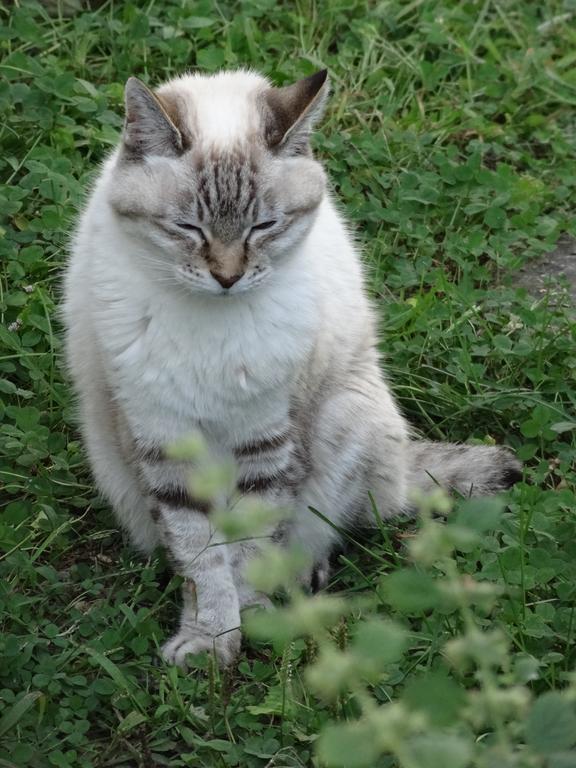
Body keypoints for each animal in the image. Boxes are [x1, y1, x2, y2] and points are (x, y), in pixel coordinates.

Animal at [63, 67, 520, 664]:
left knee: (328, 529)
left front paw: (255, 622)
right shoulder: (166, 445)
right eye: (189, 228)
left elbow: (252, 548)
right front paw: (211, 643)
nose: (227, 277)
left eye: (264, 226)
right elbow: (201, 560)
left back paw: (304, 584)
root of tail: (399, 466)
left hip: (346, 417)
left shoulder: (268, 442)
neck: (213, 322)